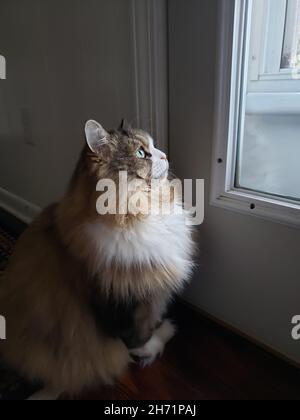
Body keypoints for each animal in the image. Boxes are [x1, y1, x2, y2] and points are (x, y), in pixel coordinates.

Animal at [0, 118, 195, 398]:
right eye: (140, 153)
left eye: (153, 146)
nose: (165, 155)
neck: (136, 215)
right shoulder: (114, 300)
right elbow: (130, 341)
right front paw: (158, 341)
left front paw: (159, 329)